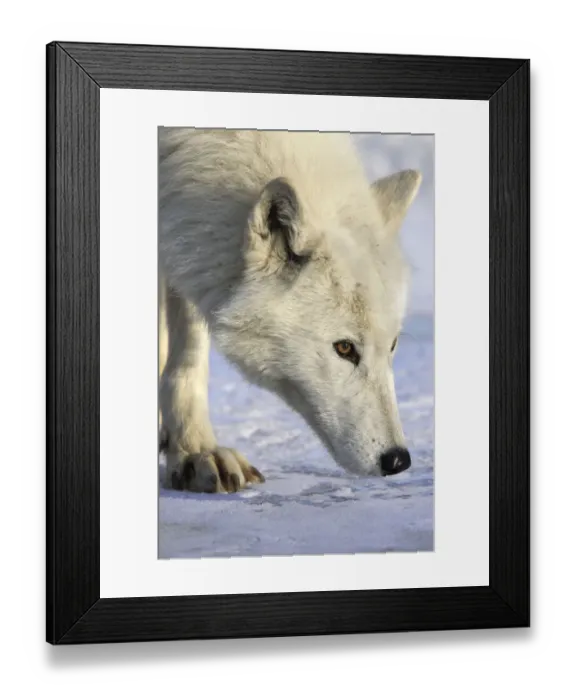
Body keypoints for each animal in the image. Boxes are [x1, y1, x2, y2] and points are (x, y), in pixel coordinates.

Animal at [158, 128, 422, 493]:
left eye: (393, 345)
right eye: (344, 348)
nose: (398, 460)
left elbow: (189, 348)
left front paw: (191, 448)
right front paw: (193, 450)